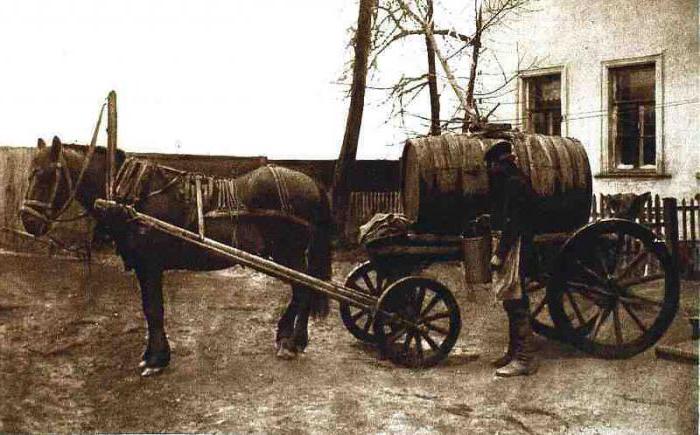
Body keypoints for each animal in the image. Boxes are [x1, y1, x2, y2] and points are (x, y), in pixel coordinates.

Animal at [19, 137, 330, 378]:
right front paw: (152, 355)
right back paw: (295, 340)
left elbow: (154, 309)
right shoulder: (145, 267)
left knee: (303, 290)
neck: (130, 196)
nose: (27, 220)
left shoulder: (150, 265)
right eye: (30, 173)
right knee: (306, 291)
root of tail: (313, 183)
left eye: (46, 175)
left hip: (289, 254)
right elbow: (149, 309)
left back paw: (289, 342)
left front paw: (157, 360)